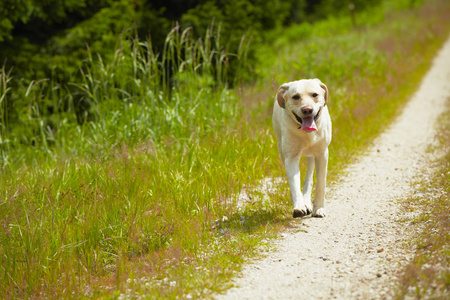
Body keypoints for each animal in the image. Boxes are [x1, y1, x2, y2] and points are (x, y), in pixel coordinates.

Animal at [270, 78, 330, 218]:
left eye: (314, 95)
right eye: (296, 97)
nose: (307, 109)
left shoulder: (322, 155)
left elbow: (321, 184)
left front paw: (319, 208)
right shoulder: (291, 158)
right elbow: (294, 184)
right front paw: (299, 207)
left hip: (312, 156)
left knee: (309, 178)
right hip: (282, 151)